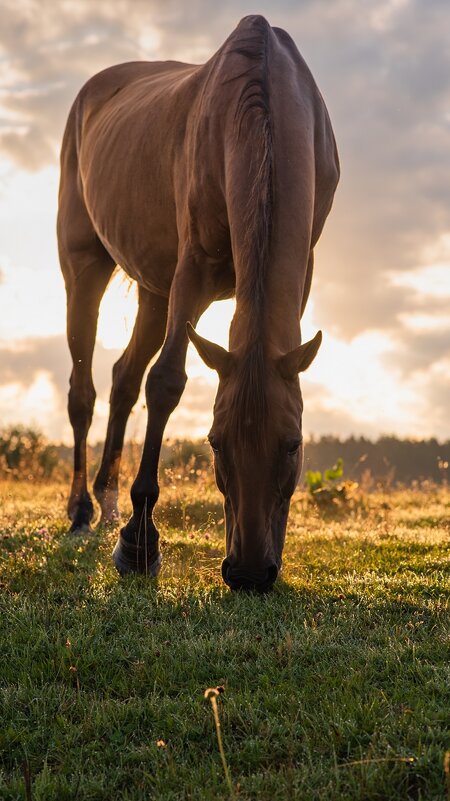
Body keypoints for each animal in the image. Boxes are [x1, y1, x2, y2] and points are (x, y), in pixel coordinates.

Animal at [58, 12, 338, 588]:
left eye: (293, 444)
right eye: (214, 442)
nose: (250, 572)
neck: (264, 98)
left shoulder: (301, 273)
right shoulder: (194, 272)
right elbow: (167, 383)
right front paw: (140, 543)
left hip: (152, 290)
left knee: (123, 379)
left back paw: (108, 502)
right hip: (85, 270)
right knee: (84, 390)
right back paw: (82, 511)